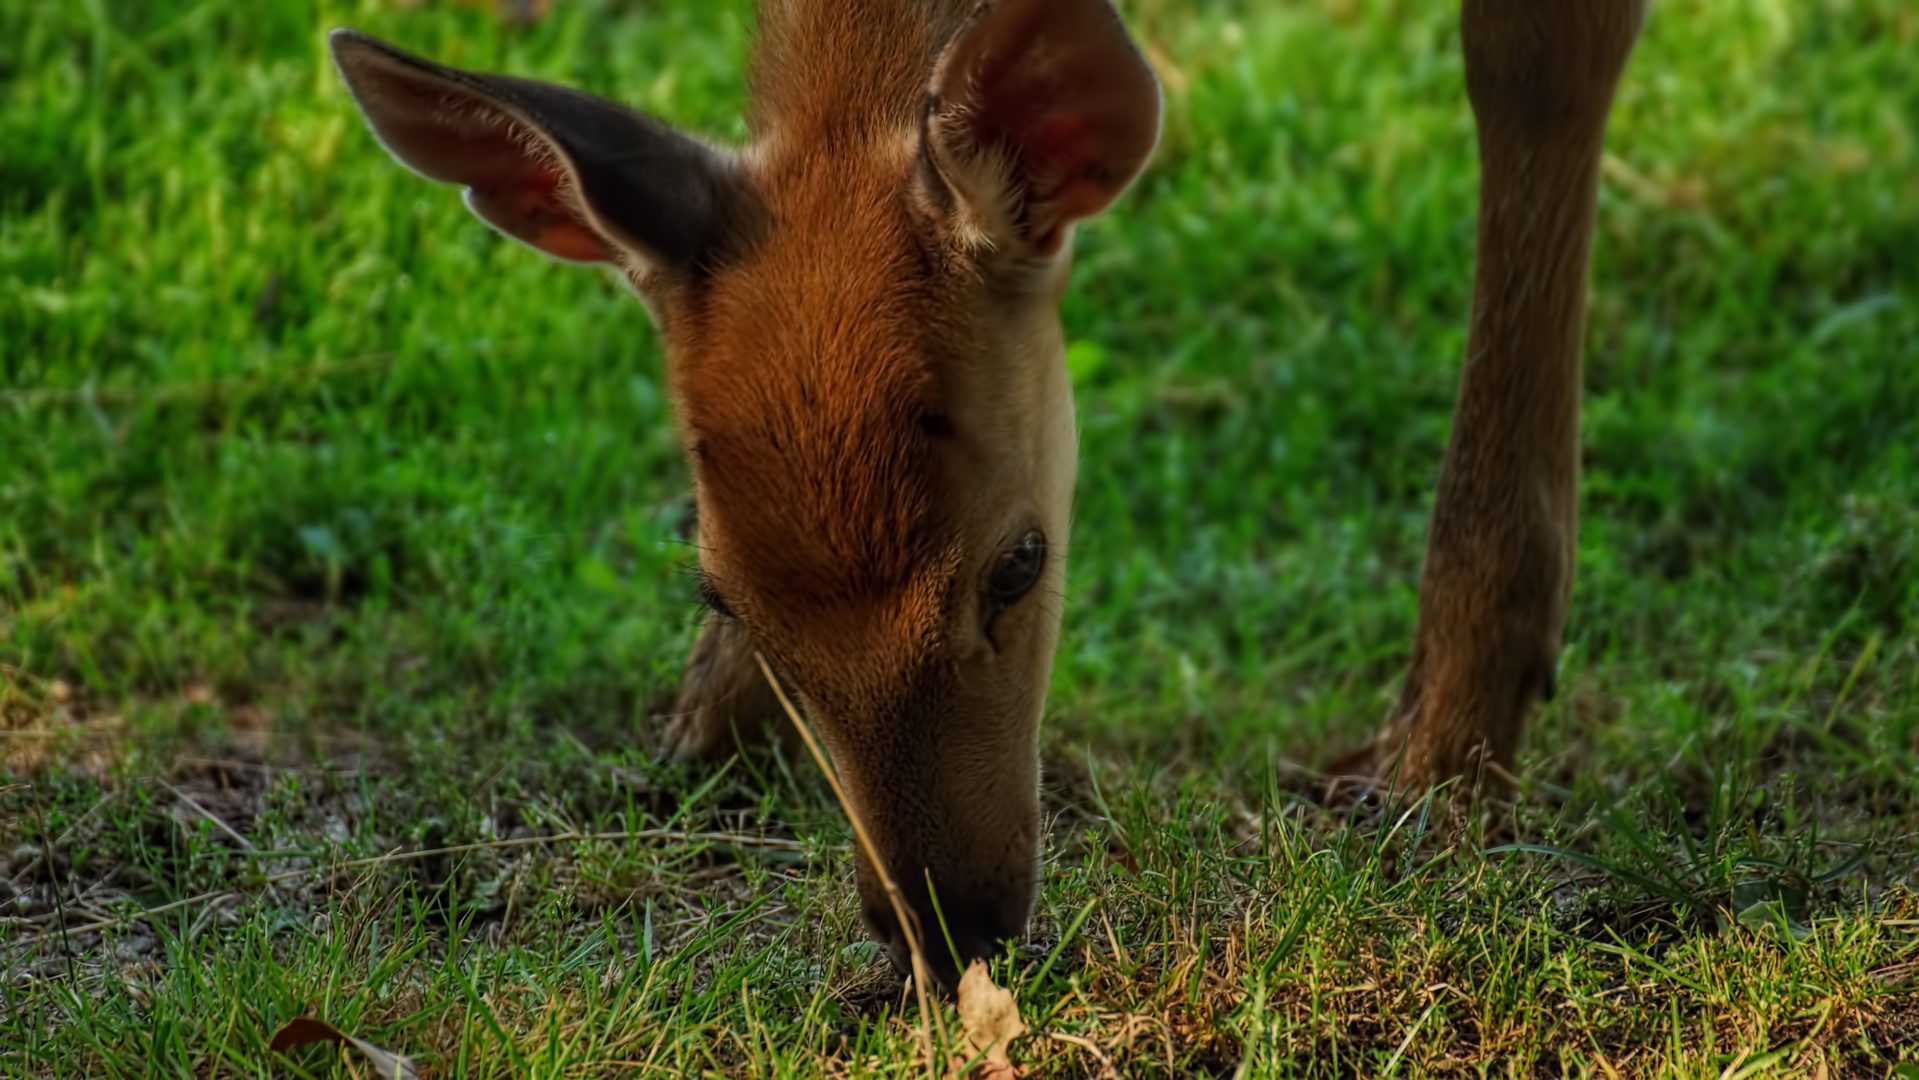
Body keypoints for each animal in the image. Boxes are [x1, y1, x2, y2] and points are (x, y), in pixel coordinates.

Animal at [330, 0, 1650, 989]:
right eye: (720, 595)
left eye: (1020, 561)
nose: (943, 928)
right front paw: (704, 725)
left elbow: (1532, 55)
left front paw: (1447, 750)